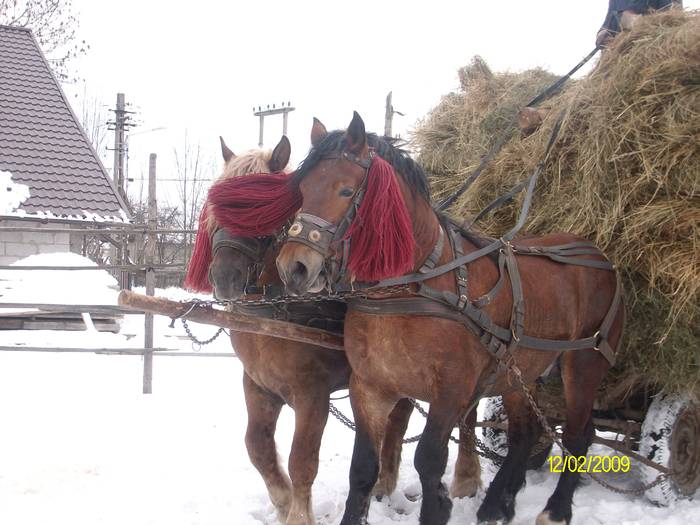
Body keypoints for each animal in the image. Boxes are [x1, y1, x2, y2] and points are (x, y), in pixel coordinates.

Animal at [183, 136, 438, 524]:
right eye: (217, 204)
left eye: (262, 206)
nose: (224, 278)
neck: (274, 312)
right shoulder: (257, 383)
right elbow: (257, 447)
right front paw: (283, 500)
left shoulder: (312, 393)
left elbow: (302, 460)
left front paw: (298, 514)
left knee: (399, 418)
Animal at [274, 114, 624, 524]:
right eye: (302, 190)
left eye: (345, 191)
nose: (294, 268)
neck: (412, 289)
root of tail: (598, 255)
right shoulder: (371, 388)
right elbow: (362, 469)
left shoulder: (451, 390)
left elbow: (428, 460)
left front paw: (438, 505)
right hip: (519, 370)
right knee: (524, 432)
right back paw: (496, 505)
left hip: (584, 364)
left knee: (577, 435)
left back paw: (555, 509)